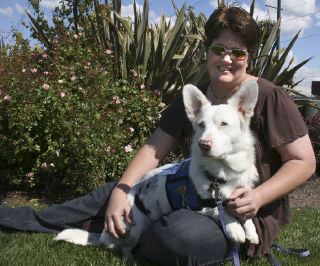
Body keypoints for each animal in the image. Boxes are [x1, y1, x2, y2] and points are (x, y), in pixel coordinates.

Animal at [54, 81, 260, 260]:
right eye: (201, 125)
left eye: (223, 124)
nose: (203, 144)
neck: (223, 173)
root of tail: (104, 236)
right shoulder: (198, 205)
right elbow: (221, 211)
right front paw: (235, 229)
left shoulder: (239, 196)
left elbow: (243, 212)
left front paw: (250, 229)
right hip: (133, 227)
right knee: (123, 249)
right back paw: (130, 258)